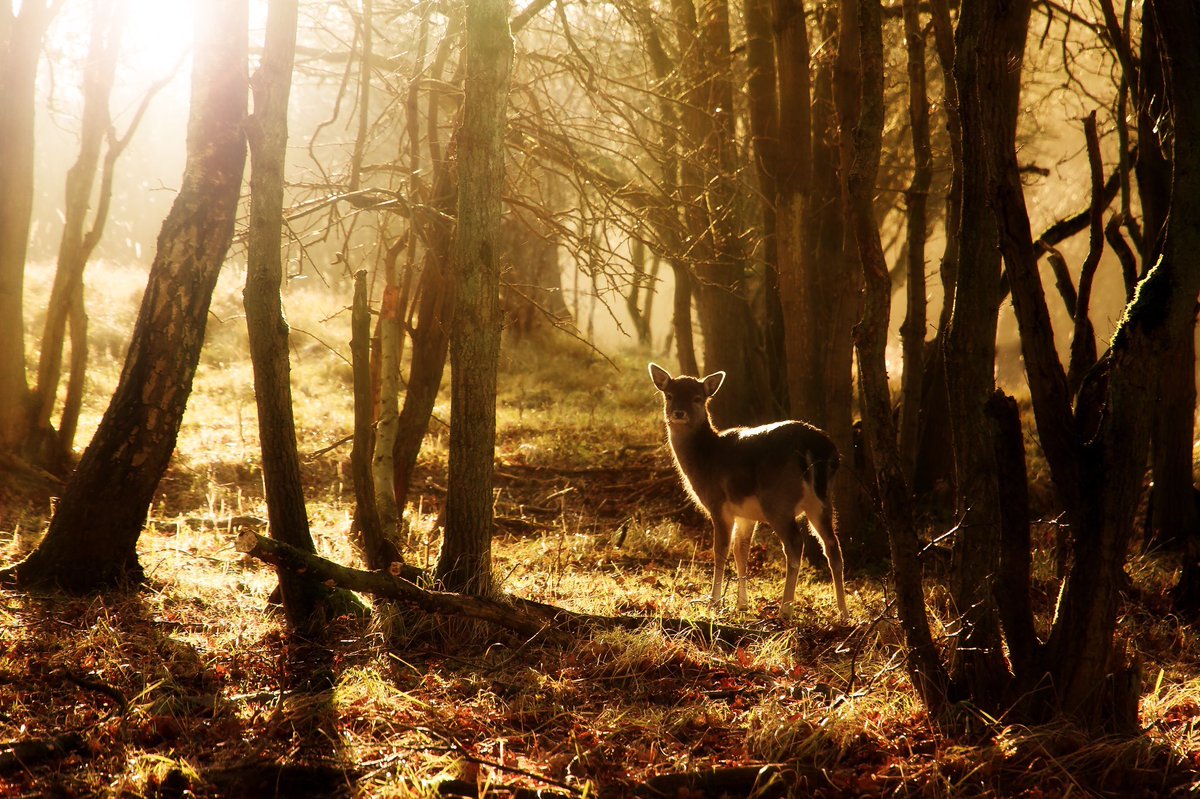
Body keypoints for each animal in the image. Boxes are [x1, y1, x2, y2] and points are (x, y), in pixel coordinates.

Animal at [652, 359, 849, 614]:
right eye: (669, 395)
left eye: (697, 397)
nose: (678, 413)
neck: (705, 459)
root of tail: (814, 447)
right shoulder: (745, 513)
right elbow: (741, 551)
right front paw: (742, 604)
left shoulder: (719, 503)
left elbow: (720, 550)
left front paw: (714, 601)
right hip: (823, 501)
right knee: (833, 546)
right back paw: (843, 612)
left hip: (778, 501)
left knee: (795, 545)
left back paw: (785, 609)